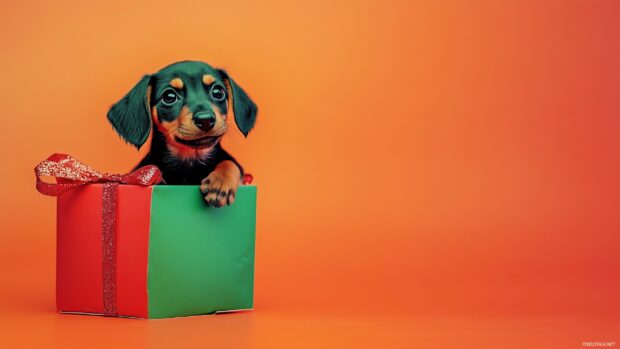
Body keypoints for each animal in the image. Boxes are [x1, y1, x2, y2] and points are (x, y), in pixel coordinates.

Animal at [106, 60, 256, 207]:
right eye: (169, 96)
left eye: (218, 92)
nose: (205, 120)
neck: (190, 161)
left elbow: (230, 162)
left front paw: (220, 182)